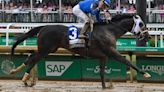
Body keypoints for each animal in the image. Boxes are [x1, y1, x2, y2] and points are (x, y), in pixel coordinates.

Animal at [9, 13, 151, 88]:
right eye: (141, 24)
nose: (148, 36)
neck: (109, 31)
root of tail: (44, 27)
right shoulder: (111, 52)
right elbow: (127, 62)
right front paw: (145, 73)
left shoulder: (103, 56)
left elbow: (102, 72)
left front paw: (105, 87)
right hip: (46, 49)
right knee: (33, 58)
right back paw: (25, 79)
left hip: (48, 49)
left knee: (30, 57)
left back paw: (17, 72)